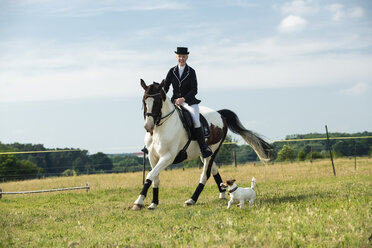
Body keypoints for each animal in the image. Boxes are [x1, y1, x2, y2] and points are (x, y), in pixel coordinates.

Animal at [132, 78, 274, 210]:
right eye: (144, 101)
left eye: (157, 102)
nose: (148, 127)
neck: (160, 129)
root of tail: (220, 114)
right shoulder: (152, 156)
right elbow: (155, 178)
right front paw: (153, 203)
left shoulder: (167, 157)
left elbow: (150, 175)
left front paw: (138, 202)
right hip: (204, 153)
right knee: (214, 169)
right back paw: (222, 193)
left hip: (213, 150)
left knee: (205, 175)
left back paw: (192, 200)